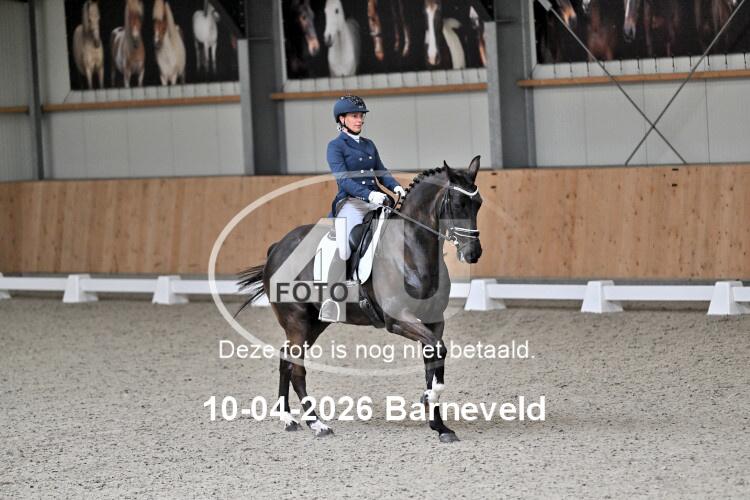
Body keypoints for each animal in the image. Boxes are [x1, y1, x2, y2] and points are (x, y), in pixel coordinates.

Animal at [236, 157, 483, 443]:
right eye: (458, 203)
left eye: (478, 203)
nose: (473, 253)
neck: (411, 250)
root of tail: (278, 246)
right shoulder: (398, 320)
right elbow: (438, 352)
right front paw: (428, 398)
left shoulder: (434, 322)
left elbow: (433, 363)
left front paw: (439, 425)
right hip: (296, 321)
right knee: (296, 367)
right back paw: (315, 423)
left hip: (315, 323)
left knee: (286, 359)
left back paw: (290, 418)